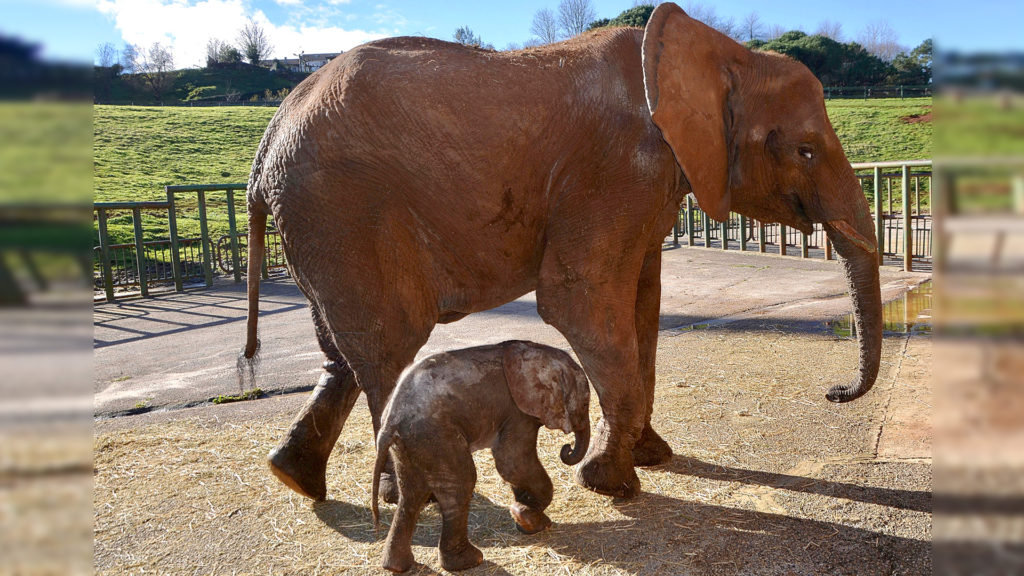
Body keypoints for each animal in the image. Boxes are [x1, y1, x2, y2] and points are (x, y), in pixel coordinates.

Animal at [240, 2, 882, 503]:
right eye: (805, 150)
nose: (833, 392)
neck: (722, 53)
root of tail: (267, 140)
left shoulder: (650, 181)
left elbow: (642, 303)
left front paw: (650, 457)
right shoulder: (615, 167)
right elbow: (581, 300)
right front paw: (609, 484)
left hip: (320, 225)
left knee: (344, 353)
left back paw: (295, 478)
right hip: (342, 211)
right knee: (386, 346)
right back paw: (409, 498)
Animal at [369, 340, 591, 572]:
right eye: (585, 404)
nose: (566, 449)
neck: (541, 352)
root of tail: (389, 423)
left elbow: (514, 465)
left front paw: (526, 519)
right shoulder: (517, 411)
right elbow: (512, 460)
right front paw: (526, 517)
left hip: (410, 443)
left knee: (411, 493)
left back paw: (397, 567)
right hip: (435, 434)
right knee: (460, 484)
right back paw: (470, 561)